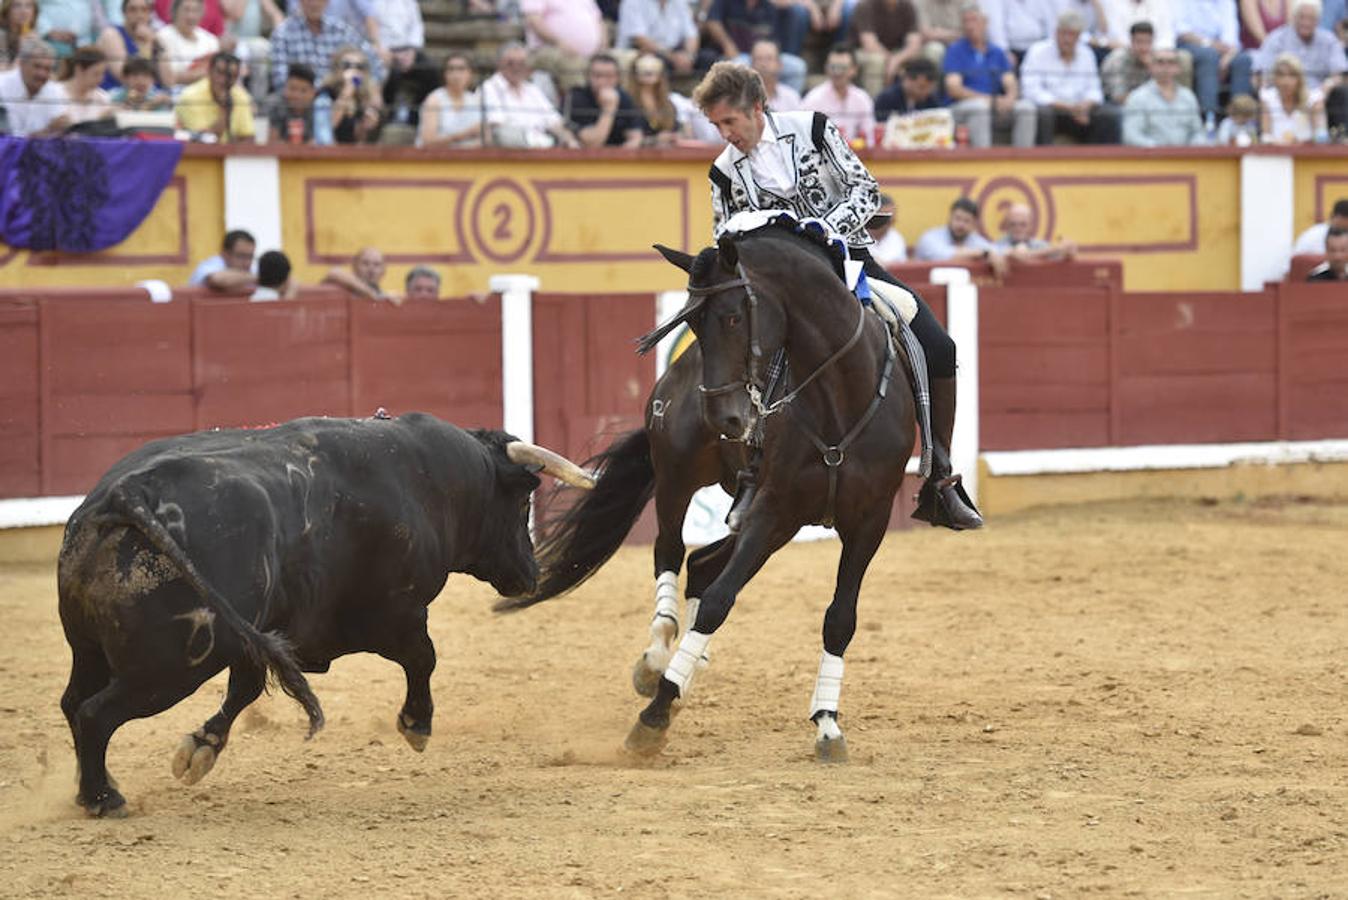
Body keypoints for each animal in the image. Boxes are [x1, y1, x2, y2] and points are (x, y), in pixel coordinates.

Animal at [56, 412, 590, 819]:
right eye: (522, 501)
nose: (531, 573)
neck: (426, 478)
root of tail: (126, 493)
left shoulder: (261, 634)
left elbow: (245, 689)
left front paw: (201, 748)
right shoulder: (397, 615)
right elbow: (425, 658)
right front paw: (416, 724)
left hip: (92, 648)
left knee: (73, 703)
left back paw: (90, 789)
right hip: (174, 665)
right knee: (96, 713)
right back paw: (104, 799)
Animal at [501, 225, 922, 759]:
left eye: (734, 316)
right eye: (693, 324)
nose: (726, 418)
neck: (839, 398)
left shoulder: (869, 519)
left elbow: (840, 617)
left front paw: (827, 723)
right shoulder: (774, 508)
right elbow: (721, 599)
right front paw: (655, 713)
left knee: (701, 563)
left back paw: (680, 666)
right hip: (678, 476)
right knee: (671, 551)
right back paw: (657, 658)